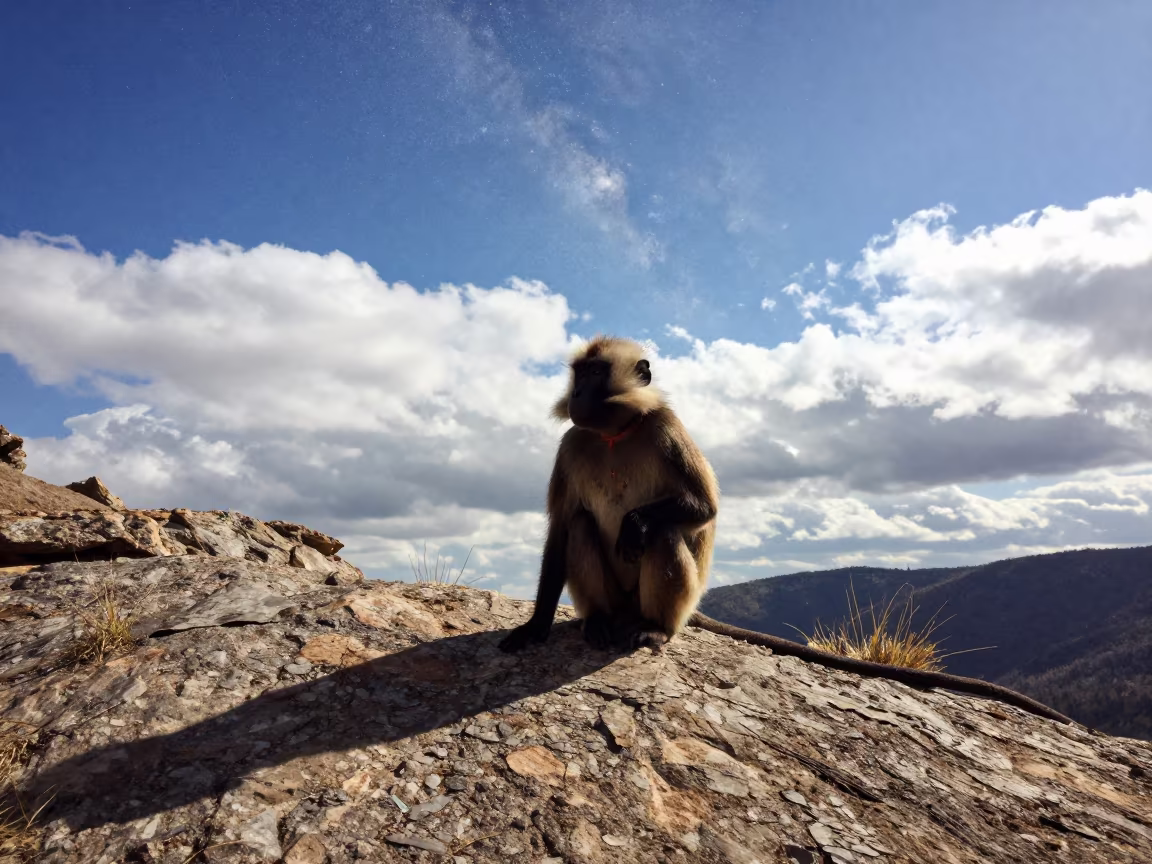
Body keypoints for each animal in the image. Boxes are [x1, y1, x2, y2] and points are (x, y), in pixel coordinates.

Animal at [498, 336, 1078, 728]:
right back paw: (598, 623)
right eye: (579, 375)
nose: (577, 395)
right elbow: (561, 526)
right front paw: (536, 625)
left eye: (596, 374)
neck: (616, 435)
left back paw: (655, 628)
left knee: (662, 538)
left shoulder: (664, 426)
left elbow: (702, 509)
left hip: (666, 601)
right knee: (580, 525)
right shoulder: (575, 442)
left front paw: (638, 522)